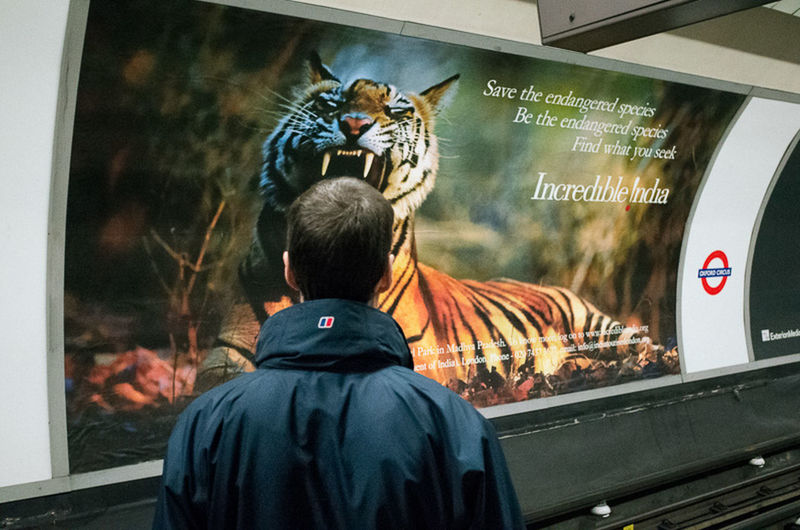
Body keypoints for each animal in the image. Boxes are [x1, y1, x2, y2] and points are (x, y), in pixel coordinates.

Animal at [202, 51, 676, 402]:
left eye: (393, 109)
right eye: (331, 103)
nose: (353, 124)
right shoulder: (230, 350)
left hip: (602, 326)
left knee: (648, 349)